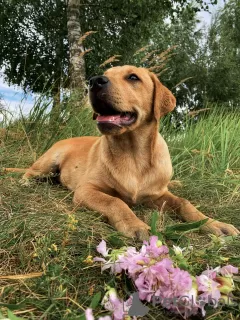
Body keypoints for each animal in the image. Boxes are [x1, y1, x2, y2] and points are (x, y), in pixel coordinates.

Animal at [5, 65, 238, 240]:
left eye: (133, 77)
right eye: (104, 74)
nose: (94, 81)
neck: (132, 154)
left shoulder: (157, 195)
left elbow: (185, 203)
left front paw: (214, 223)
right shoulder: (86, 190)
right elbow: (115, 201)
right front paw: (134, 225)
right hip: (48, 161)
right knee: (30, 172)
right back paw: (27, 182)